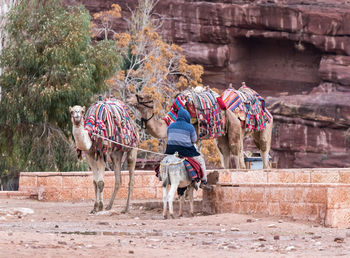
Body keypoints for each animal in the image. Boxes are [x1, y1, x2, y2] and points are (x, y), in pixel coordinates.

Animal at [129, 87, 274, 170]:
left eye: (140, 96)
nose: (129, 100)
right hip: (226, 131)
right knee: (226, 149)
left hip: (247, 124)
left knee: (251, 146)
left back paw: (258, 169)